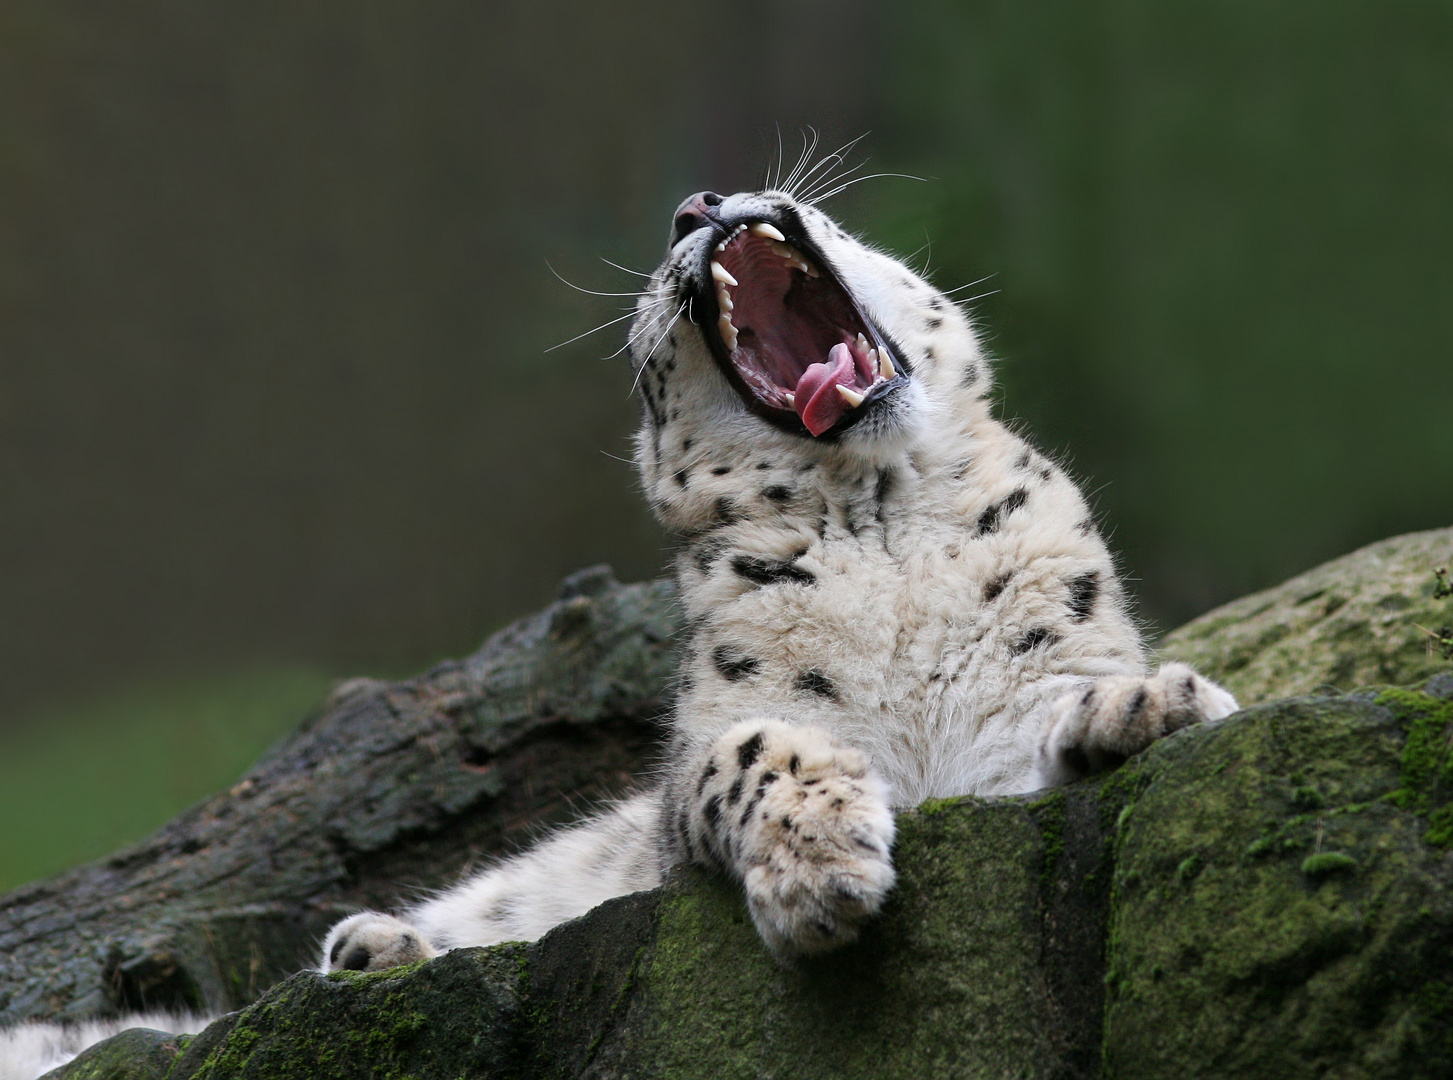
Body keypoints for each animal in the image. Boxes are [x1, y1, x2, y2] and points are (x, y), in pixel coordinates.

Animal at [0, 187, 1237, 1080]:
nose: (699, 204)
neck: (878, 518)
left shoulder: (1024, 695)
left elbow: (1051, 713)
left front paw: (1151, 705)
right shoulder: (706, 758)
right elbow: (751, 751)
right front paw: (818, 870)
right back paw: (376, 948)